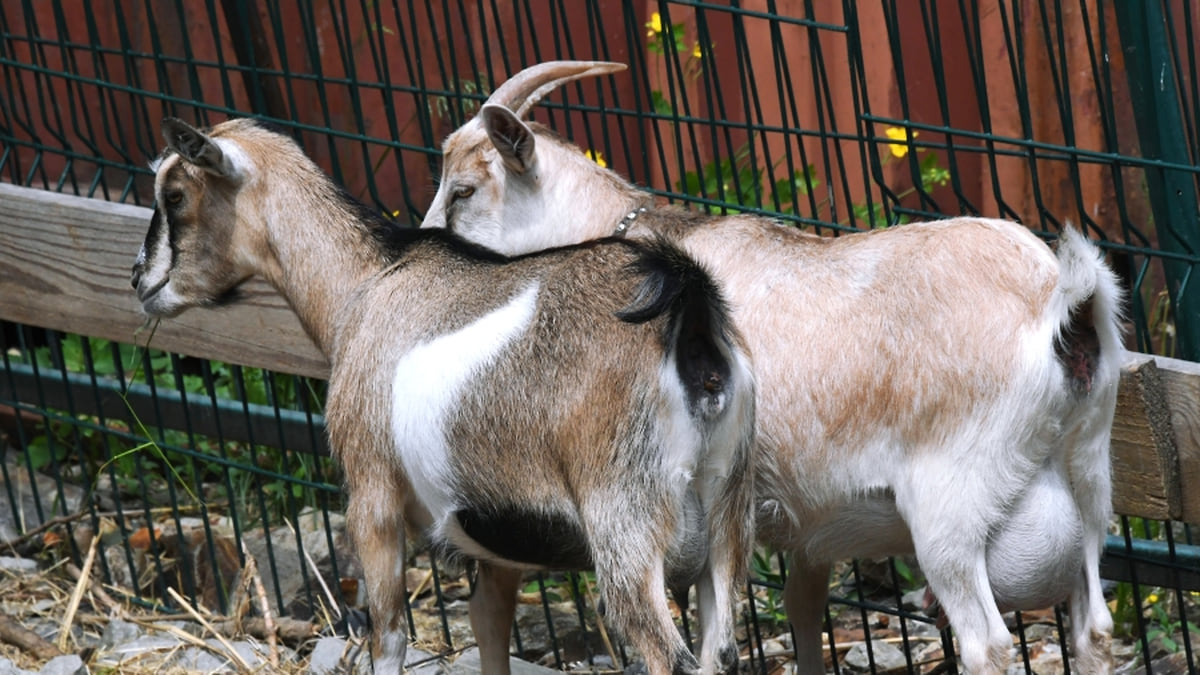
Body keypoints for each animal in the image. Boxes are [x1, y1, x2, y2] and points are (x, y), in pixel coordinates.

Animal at [131, 117, 758, 675]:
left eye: (175, 195)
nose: (139, 280)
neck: (367, 282)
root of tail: (690, 322)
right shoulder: (497, 534)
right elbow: (489, 629)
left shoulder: (372, 495)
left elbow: (387, 640)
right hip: (726, 519)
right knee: (721, 654)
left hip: (623, 515)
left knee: (668, 657)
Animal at [420, 61, 1126, 674]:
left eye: (463, 191)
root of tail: (1060, 304)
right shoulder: (809, 525)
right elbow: (802, 610)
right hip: (1091, 477)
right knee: (1093, 628)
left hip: (949, 505)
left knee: (988, 646)